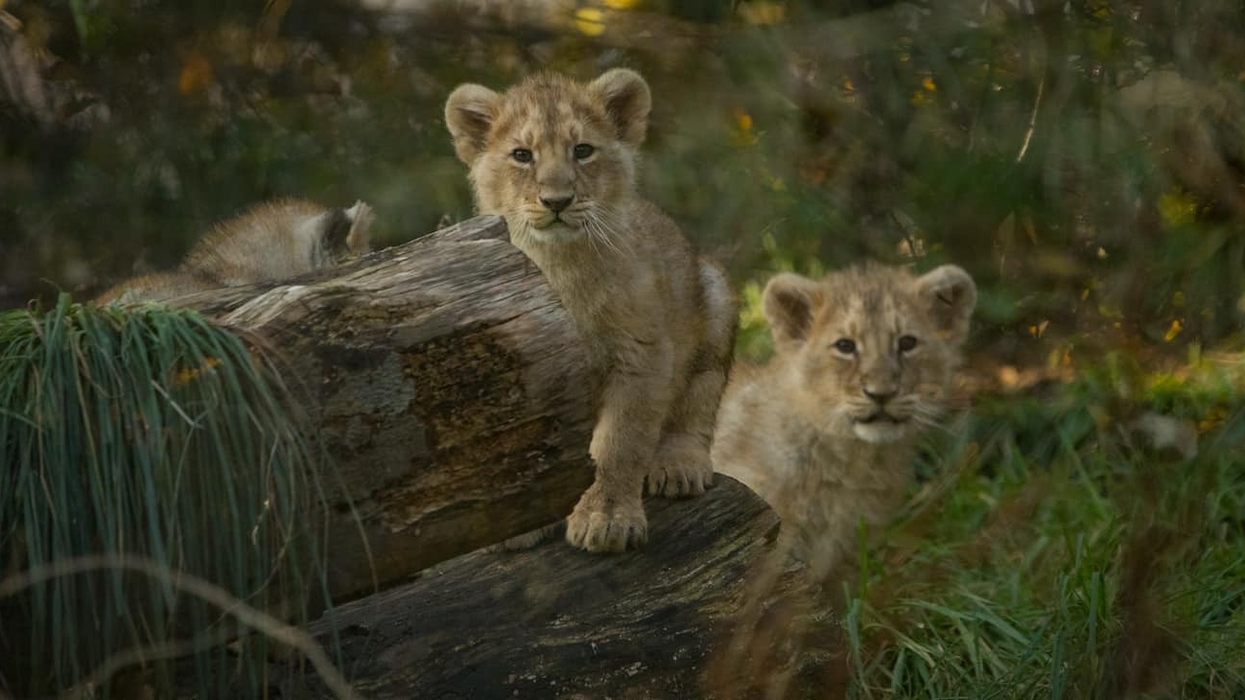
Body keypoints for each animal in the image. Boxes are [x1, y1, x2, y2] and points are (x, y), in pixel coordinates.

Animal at [445, 69, 737, 553]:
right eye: (522, 155)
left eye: (582, 150)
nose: (557, 200)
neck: (560, 266)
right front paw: (516, 525)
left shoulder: (640, 354)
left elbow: (618, 444)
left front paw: (607, 518)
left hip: (714, 294)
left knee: (698, 403)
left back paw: (679, 464)